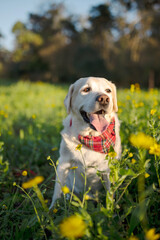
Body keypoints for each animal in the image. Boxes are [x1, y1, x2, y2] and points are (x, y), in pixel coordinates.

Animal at [49, 77, 120, 208]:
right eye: (86, 89)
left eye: (108, 90)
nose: (104, 99)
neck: (91, 137)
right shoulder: (63, 163)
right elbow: (57, 192)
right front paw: (51, 210)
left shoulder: (108, 170)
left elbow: (110, 194)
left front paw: (111, 210)